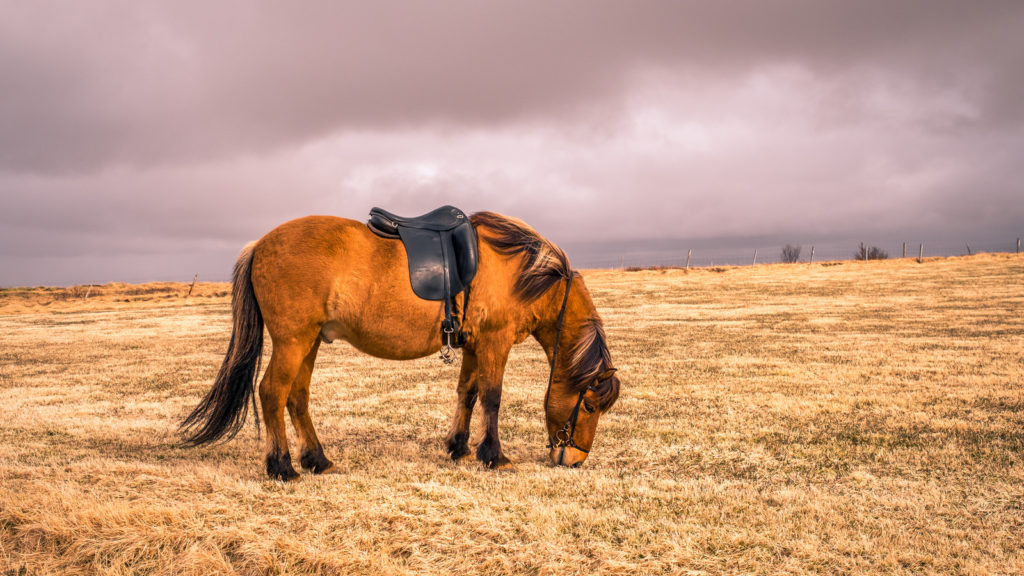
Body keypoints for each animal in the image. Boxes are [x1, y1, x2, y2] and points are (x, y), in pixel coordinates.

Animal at [180, 211, 621, 480]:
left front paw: (459, 447)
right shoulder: (494, 343)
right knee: (273, 392)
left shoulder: (473, 346)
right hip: (293, 341)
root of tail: (259, 244)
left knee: (297, 397)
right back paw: (282, 467)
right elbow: (492, 398)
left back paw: (317, 460)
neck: (519, 271)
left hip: (308, 343)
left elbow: (467, 393)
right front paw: (494, 455)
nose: (575, 459)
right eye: (589, 405)